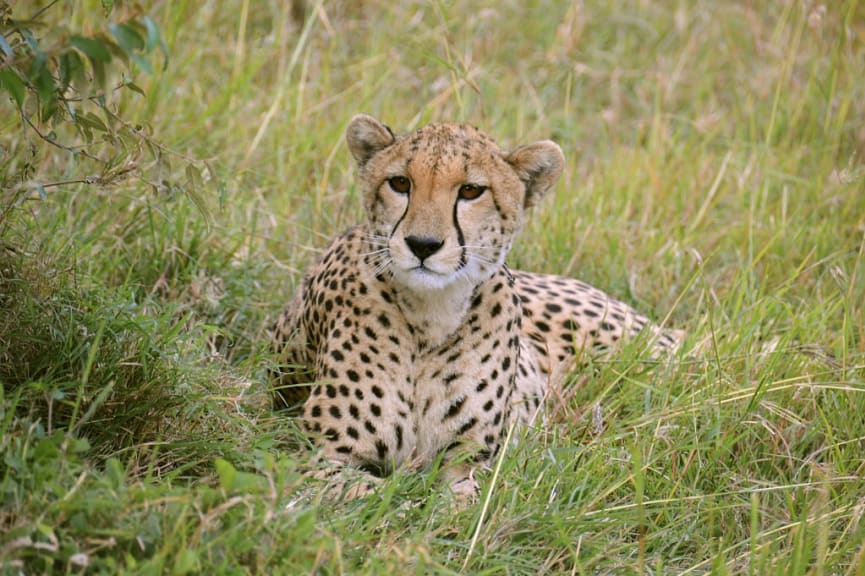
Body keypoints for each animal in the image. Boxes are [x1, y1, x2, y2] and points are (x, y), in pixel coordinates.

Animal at [274, 113, 680, 500]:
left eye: (471, 191)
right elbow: (381, 499)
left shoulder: (473, 463)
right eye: (400, 183)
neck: (429, 315)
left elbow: (459, 503)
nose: (422, 244)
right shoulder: (320, 459)